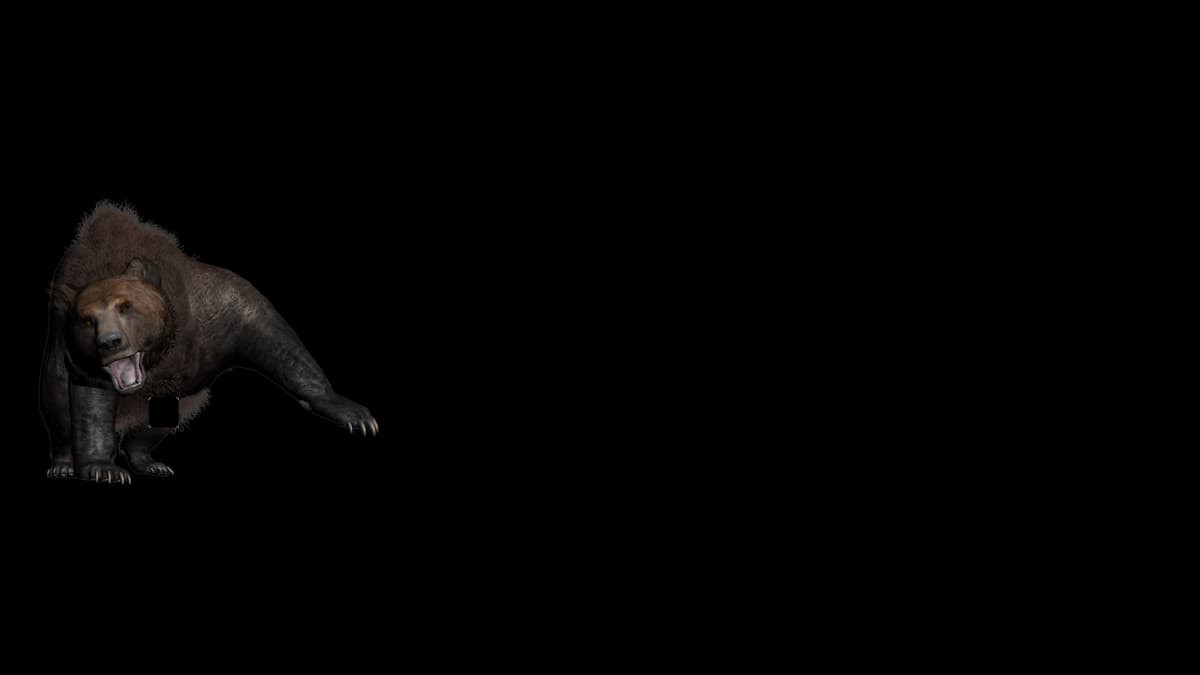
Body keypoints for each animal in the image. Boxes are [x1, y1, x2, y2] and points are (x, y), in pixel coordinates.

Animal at [40, 202, 378, 484]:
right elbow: (90, 408)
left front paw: (354, 415)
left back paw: (151, 462)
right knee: (58, 404)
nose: (110, 342)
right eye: (87, 320)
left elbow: (278, 343)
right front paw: (102, 468)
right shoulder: (81, 360)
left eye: (126, 307)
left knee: (160, 422)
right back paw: (62, 464)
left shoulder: (215, 314)